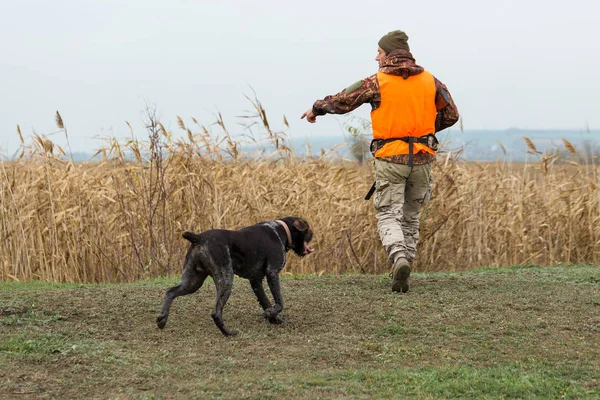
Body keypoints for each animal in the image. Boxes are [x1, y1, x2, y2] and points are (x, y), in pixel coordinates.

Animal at [155, 217, 314, 336]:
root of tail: (199, 238)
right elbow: (279, 302)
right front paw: (271, 314)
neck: (280, 230)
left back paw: (162, 320)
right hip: (226, 278)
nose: (313, 232)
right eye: (307, 228)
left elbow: (265, 301)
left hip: (193, 281)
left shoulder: (255, 281)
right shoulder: (272, 273)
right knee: (216, 312)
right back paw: (228, 333)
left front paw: (273, 319)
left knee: (170, 291)